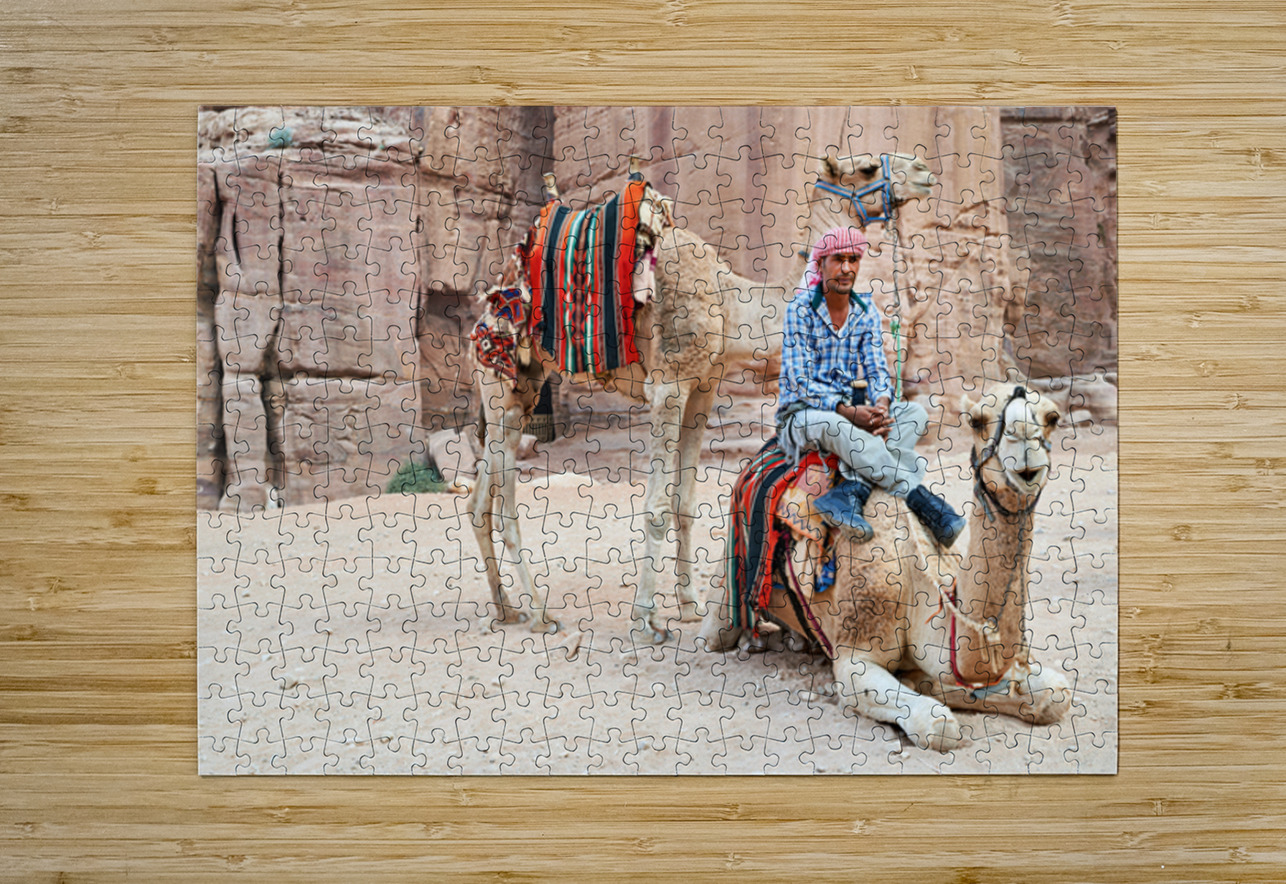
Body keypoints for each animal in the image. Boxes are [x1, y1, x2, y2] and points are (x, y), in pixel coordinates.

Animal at [469, 154, 937, 642]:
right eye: (865, 168)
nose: (924, 171)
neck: (731, 306)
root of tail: (490, 301)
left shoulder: (703, 387)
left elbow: (685, 503)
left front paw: (689, 604)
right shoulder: (668, 384)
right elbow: (656, 506)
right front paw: (648, 619)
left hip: (523, 387)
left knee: (479, 501)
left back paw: (506, 608)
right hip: (499, 385)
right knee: (504, 505)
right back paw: (540, 613)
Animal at [698, 386, 1073, 751]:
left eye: (1053, 417)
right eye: (977, 421)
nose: (1024, 444)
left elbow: (1057, 693)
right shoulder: (856, 653)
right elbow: (937, 724)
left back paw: (792, 640)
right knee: (716, 632)